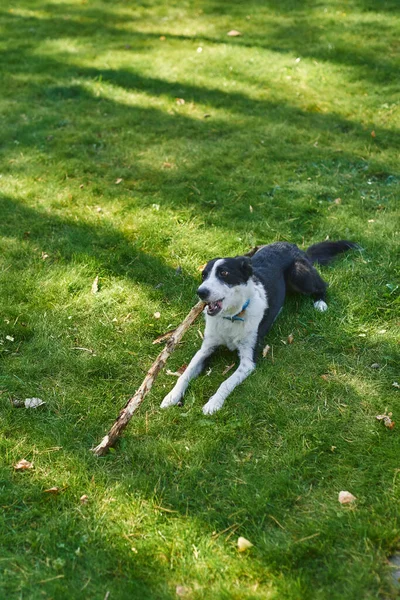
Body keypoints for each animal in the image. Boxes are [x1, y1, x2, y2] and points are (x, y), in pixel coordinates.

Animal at [160, 241, 356, 414]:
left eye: (224, 273)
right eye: (204, 275)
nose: (200, 292)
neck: (232, 317)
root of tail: (294, 246)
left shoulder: (248, 361)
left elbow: (225, 383)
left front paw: (213, 403)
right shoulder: (207, 348)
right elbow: (186, 373)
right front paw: (171, 396)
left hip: (299, 273)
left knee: (323, 286)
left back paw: (320, 303)